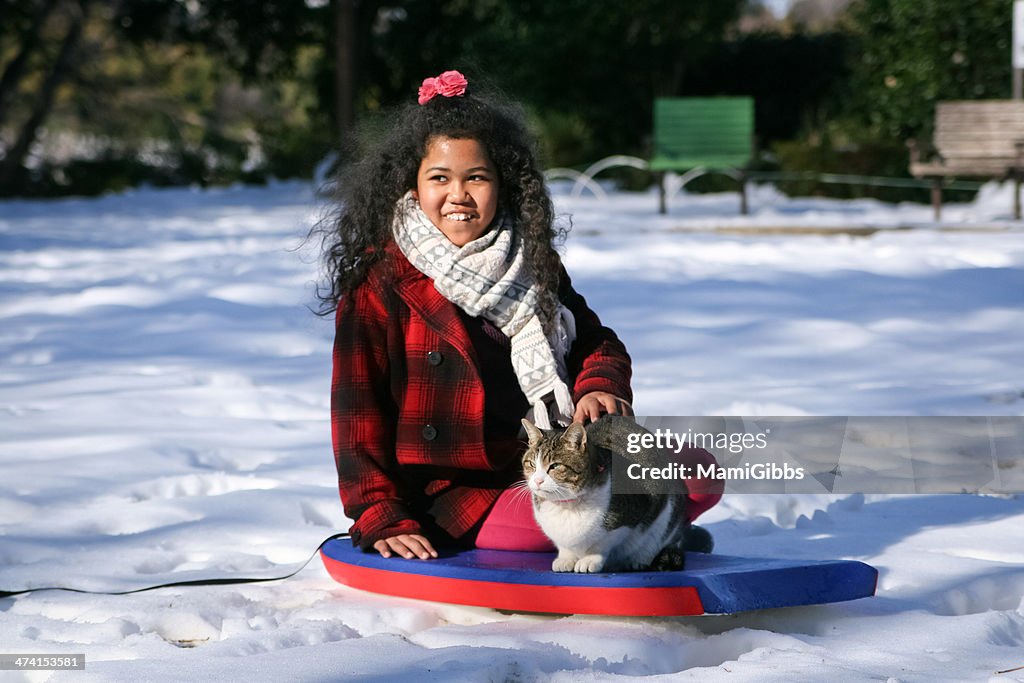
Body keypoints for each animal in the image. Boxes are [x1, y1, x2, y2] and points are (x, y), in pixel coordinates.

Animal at [520, 413, 688, 573]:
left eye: (555, 466)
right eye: (531, 464)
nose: (537, 480)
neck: (568, 505)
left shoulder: (631, 515)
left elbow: (603, 541)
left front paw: (590, 559)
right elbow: (564, 545)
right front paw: (566, 558)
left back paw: (638, 560)